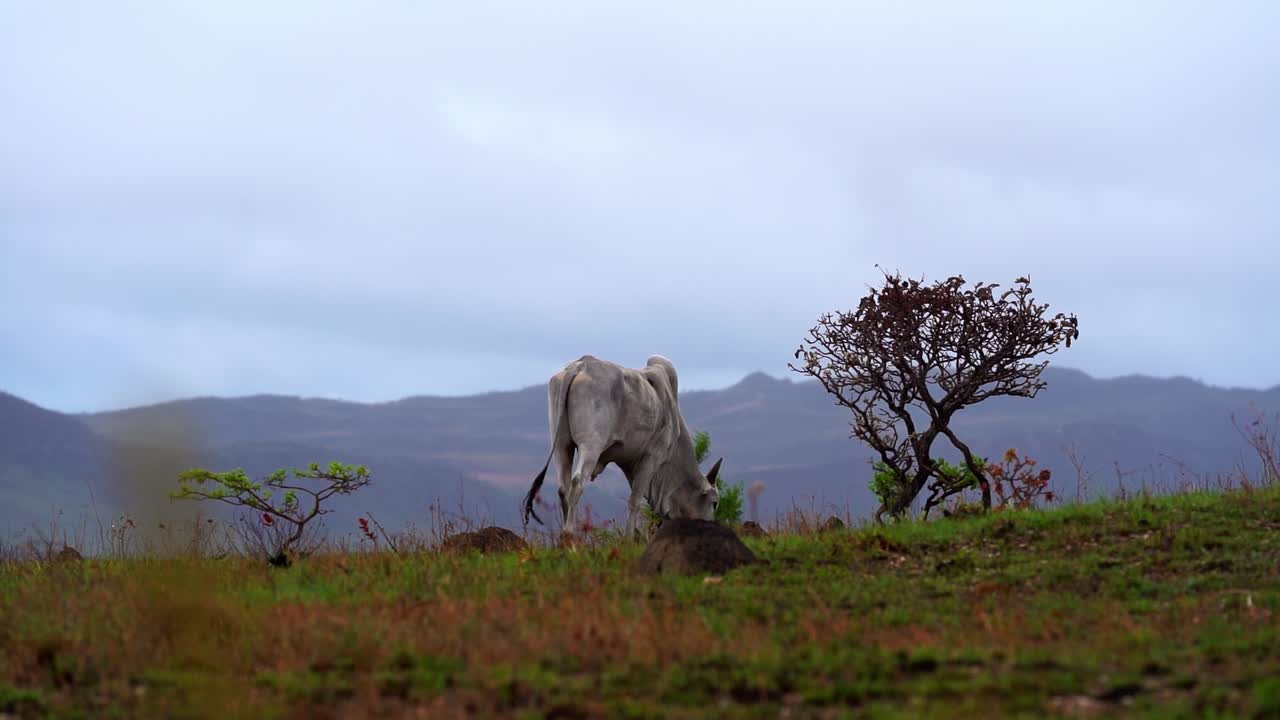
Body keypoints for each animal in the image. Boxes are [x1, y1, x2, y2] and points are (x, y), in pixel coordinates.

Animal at [521, 354, 722, 539]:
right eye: (714, 503)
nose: (711, 525)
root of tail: (581, 365)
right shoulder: (652, 456)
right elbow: (635, 500)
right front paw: (628, 539)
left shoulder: (630, 462)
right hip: (591, 445)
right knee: (577, 482)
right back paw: (570, 535)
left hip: (561, 445)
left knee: (563, 488)